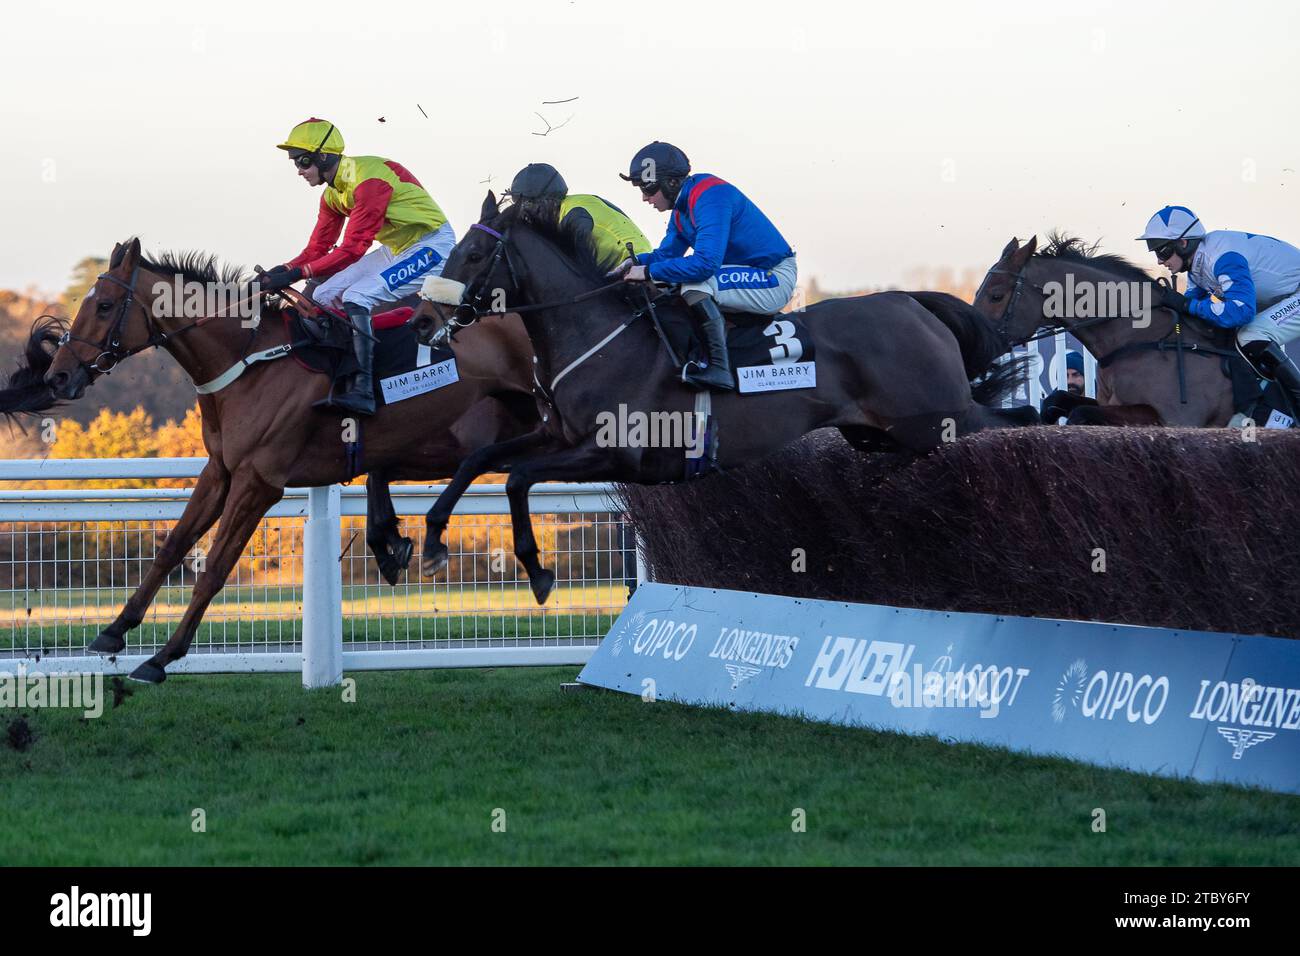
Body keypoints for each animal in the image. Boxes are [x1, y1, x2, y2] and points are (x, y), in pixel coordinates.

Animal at [2, 240, 535, 686]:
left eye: (105, 306)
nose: (57, 376)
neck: (248, 361)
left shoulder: (258, 482)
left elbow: (215, 568)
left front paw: (162, 657)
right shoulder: (220, 471)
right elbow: (173, 546)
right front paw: (115, 629)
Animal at [413, 195, 1034, 606]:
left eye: (473, 255)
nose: (422, 319)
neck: (599, 334)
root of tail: (912, 302)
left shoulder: (614, 453)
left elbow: (518, 478)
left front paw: (537, 572)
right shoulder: (556, 435)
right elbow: (478, 461)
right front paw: (431, 543)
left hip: (939, 419)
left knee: (1013, 421)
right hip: (878, 432)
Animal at [977, 235, 1237, 426]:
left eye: (996, 295)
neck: (1142, 340)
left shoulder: (1177, 419)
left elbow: (1079, 413)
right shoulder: (1108, 403)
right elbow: (1056, 400)